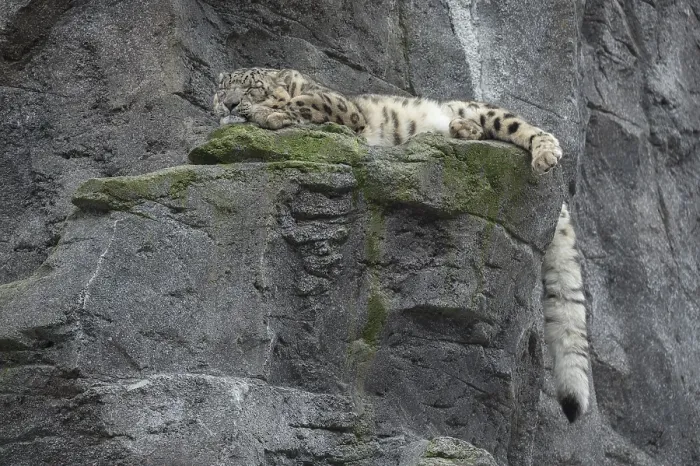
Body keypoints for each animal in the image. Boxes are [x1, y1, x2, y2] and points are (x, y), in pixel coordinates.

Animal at [213, 67, 590, 423]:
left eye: (252, 88)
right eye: (223, 89)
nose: (230, 104)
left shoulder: (339, 105)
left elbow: (304, 104)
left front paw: (267, 113)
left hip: (488, 111)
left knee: (530, 129)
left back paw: (542, 154)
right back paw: (462, 130)